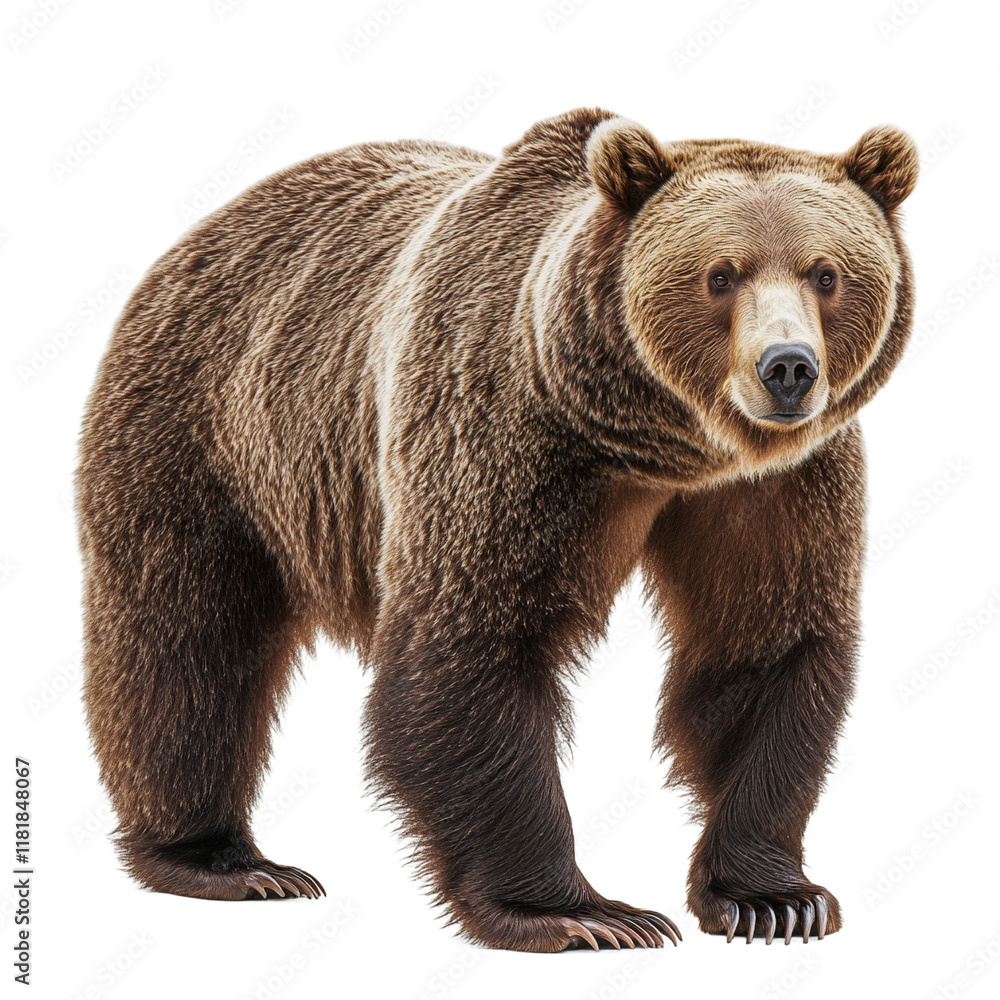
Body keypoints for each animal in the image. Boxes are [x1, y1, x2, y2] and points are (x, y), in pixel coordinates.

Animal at [76, 107, 917, 953]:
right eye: (721, 274)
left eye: (826, 273)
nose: (788, 368)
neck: (659, 444)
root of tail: (202, 230)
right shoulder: (502, 432)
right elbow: (473, 642)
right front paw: (582, 912)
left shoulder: (775, 485)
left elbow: (763, 645)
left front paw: (773, 899)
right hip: (208, 429)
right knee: (186, 640)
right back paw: (223, 859)